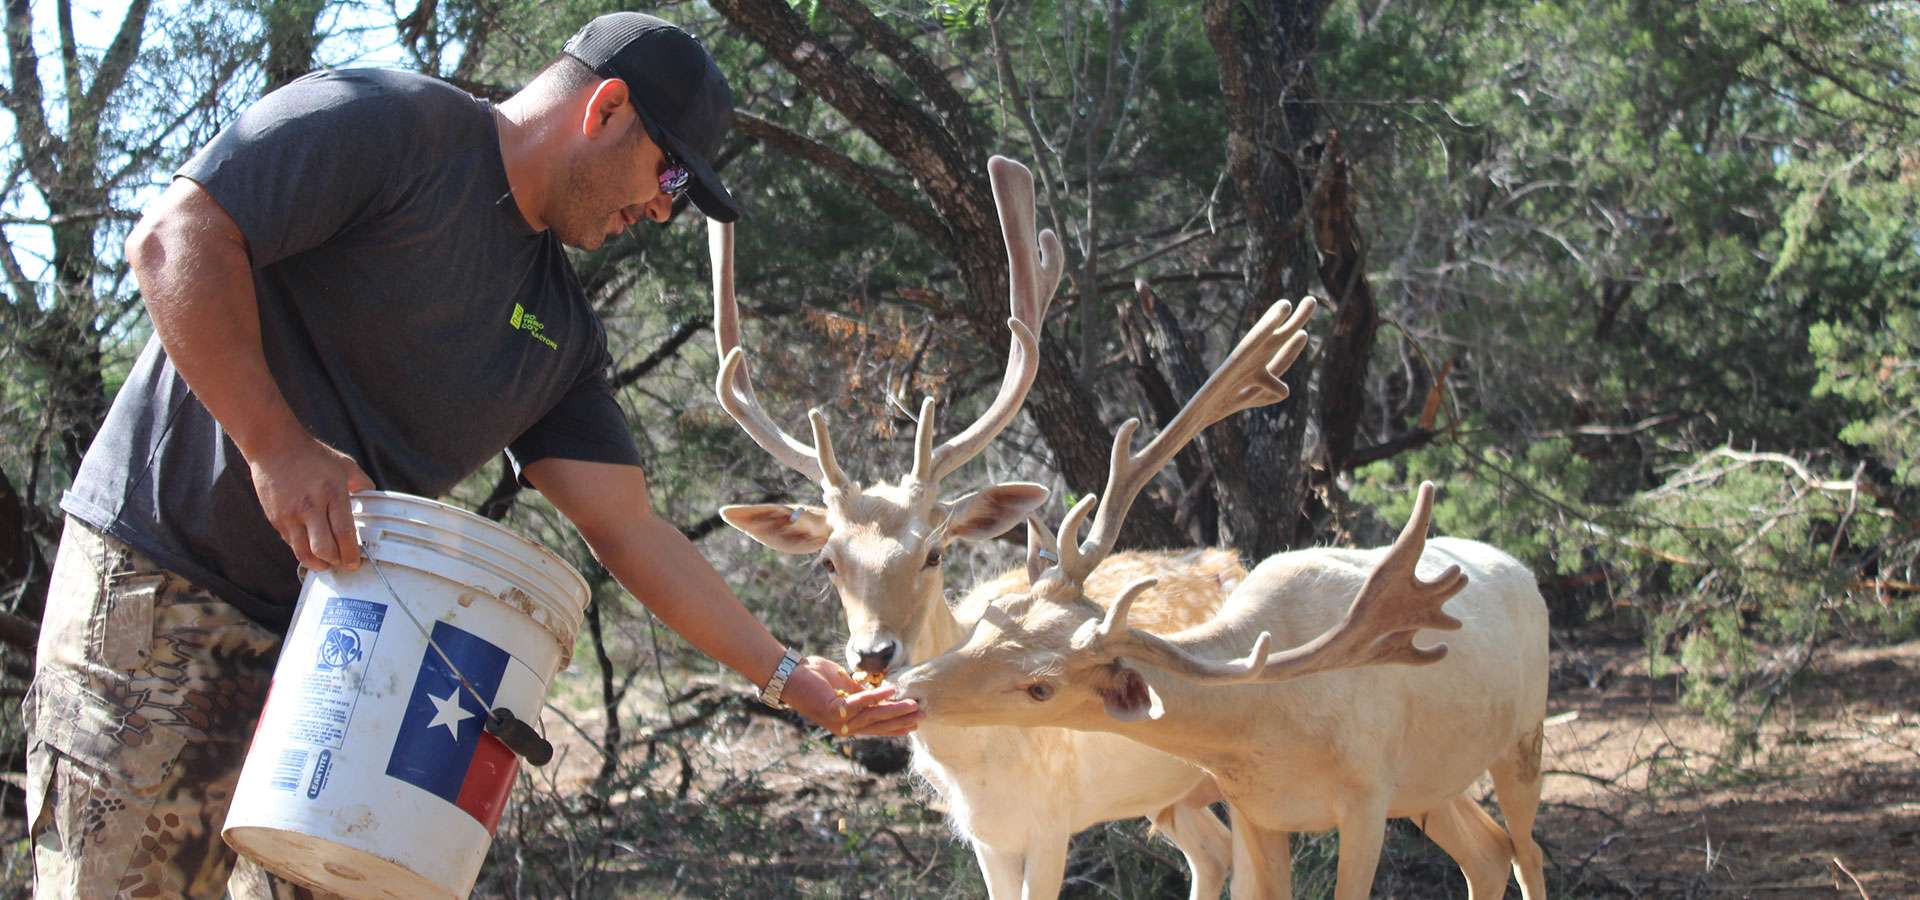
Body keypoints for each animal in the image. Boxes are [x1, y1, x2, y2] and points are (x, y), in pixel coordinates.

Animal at [706, 156, 1244, 898]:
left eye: (935, 553)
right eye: (829, 561)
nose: (874, 655)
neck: (981, 764)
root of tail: (1234, 559)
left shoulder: (1054, 822)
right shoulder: (986, 838)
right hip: (1171, 792)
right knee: (1212, 853)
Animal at [890, 295, 1551, 898]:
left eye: (1041, 687)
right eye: (993, 620)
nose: (907, 687)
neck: (1268, 725)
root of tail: (1522, 570)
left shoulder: (1367, 797)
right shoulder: (1256, 809)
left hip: (1522, 737)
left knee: (1527, 849)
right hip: (1433, 783)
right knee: (1487, 852)